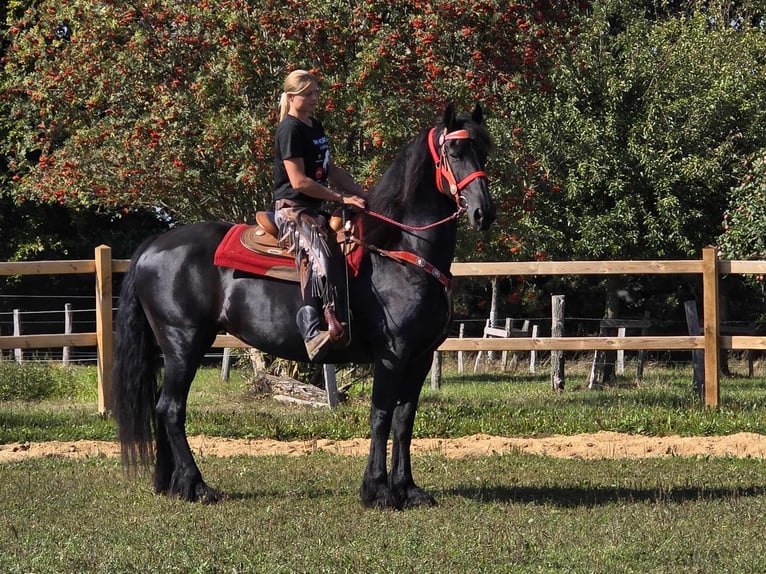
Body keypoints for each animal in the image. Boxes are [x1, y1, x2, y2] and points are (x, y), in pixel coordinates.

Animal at [114, 102, 498, 508]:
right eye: (454, 151)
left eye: (483, 151)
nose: (483, 212)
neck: (399, 251)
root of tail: (154, 244)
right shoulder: (392, 354)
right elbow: (380, 416)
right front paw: (377, 490)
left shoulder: (420, 357)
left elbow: (403, 419)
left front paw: (408, 489)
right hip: (184, 343)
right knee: (171, 409)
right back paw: (196, 485)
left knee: (164, 407)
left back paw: (173, 484)